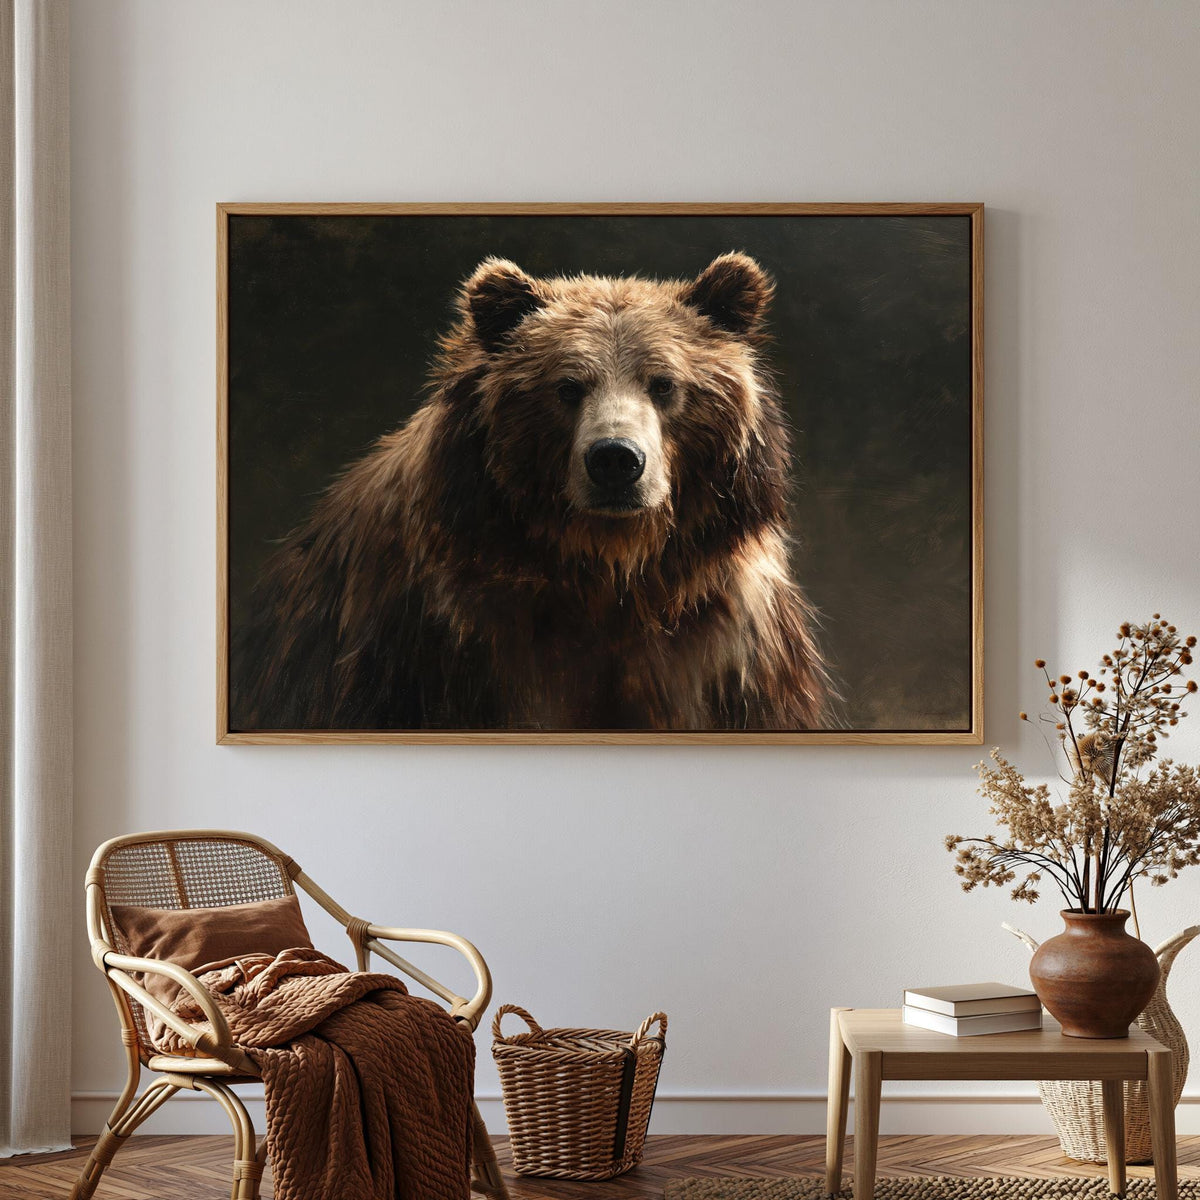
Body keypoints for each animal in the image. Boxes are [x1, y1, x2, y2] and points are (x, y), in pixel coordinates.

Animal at [231, 252, 830, 731]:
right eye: (567, 387)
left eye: (663, 383)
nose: (616, 460)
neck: (605, 571)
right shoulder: (441, 643)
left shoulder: (725, 650)